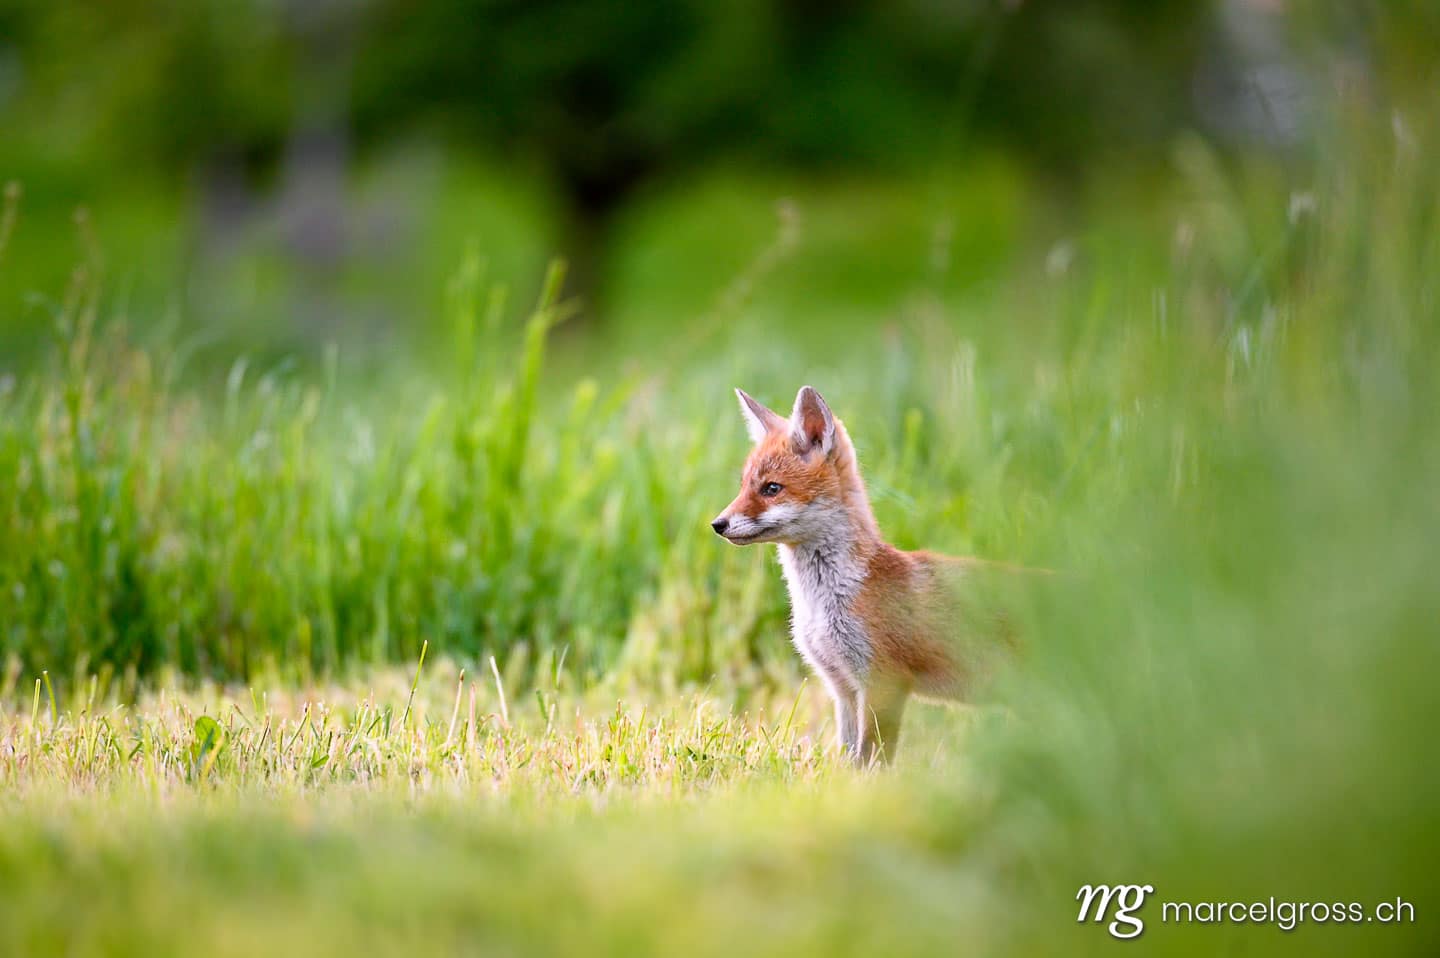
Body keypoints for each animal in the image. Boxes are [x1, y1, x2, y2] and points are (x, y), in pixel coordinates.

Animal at [711, 385, 1019, 765]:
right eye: (743, 487)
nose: (718, 524)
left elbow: (872, 762)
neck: (824, 602)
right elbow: (849, 761)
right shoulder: (842, 687)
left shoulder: (883, 684)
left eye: (771, 488)